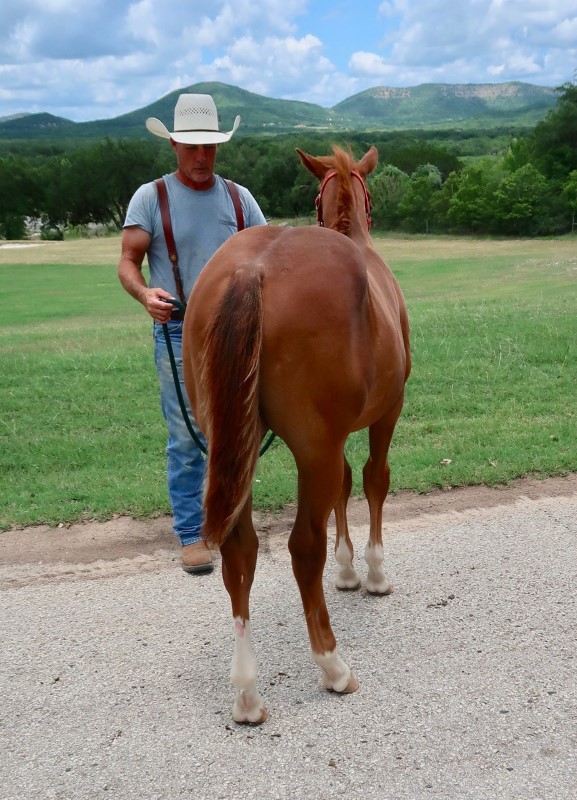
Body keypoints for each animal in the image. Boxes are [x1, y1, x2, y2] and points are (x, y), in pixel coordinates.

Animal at [181, 145, 410, 724]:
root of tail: (253, 270)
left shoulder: (336, 437)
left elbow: (346, 486)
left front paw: (349, 571)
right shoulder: (384, 414)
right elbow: (373, 480)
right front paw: (372, 572)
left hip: (237, 445)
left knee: (240, 550)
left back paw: (246, 690)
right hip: (313, 447)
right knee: (303, 547)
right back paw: (332, 665)